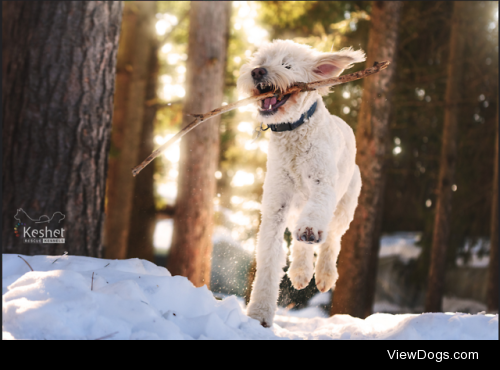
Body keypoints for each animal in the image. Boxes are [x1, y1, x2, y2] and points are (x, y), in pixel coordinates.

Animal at [236, 40, 366, 326]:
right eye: (261, 61)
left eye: (287, 65)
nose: (258, 72)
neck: (294, 131)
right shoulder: (277, 205)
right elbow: (269, 258)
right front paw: (259, 313)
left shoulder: (322, 184)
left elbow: (317, 215)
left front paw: (311, 232)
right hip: (297, 209)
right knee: (300, 245)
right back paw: (300, 272)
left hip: (345, 204)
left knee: (332, 240)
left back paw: (324, 274)